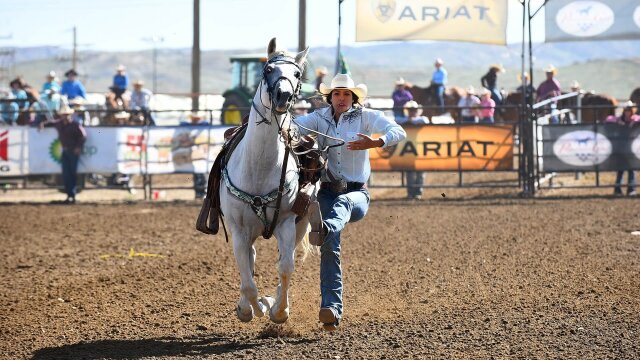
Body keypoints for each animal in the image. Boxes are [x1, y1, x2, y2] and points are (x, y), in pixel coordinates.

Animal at [219, 38, 312, 324]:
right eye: (268, 70)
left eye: (297, 74)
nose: (283, 95)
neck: (259, 167)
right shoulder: (238, 230)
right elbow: (248, 280)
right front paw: (253, 308)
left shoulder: (287, 223)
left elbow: (285, 267)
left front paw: (279, 311)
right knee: (249, 260)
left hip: (300, 226)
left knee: (281, 260)